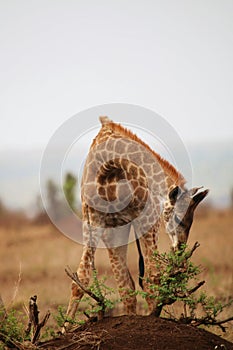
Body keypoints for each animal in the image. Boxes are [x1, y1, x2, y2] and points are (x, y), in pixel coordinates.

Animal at [63, 116, 208, 326]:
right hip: (123, 225)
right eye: (179, 218)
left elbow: (139, 281)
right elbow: (145, 277)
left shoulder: (130, 223)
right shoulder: (128, 221)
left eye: (191, 222)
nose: (179, 250)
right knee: (137, 280)